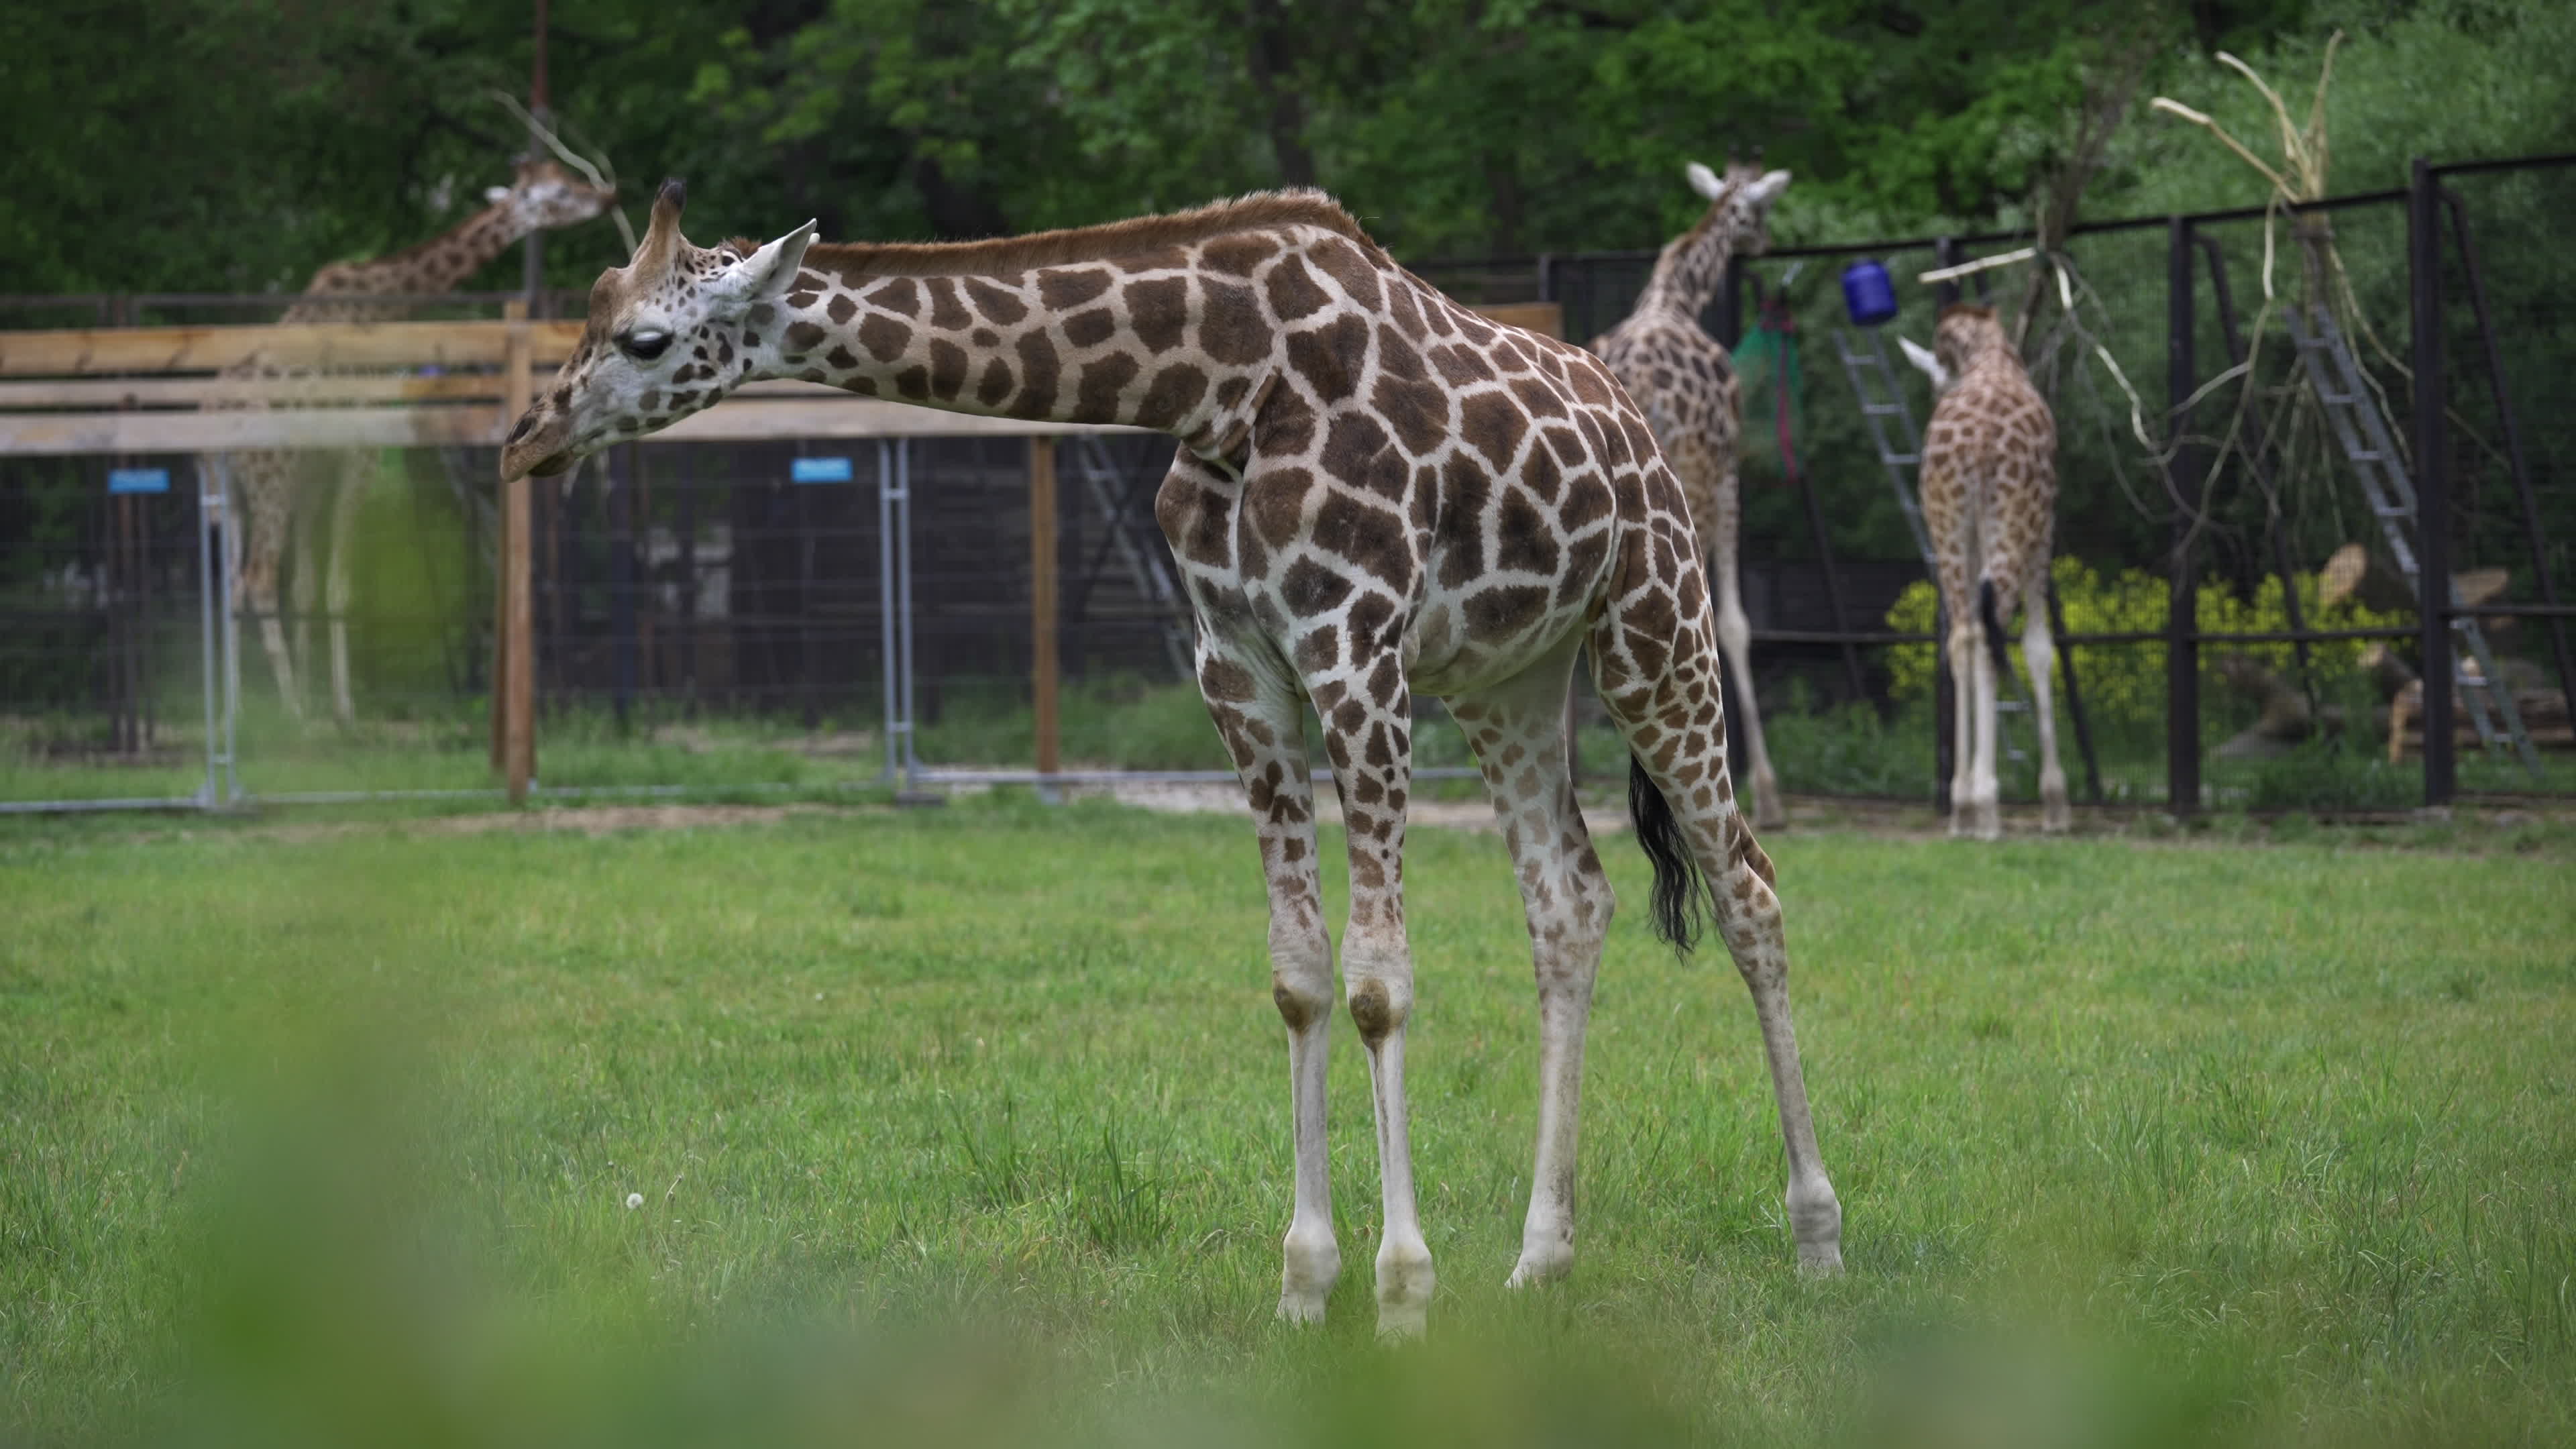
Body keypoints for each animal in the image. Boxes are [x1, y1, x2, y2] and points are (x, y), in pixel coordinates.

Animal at [214, 156, 614, 724]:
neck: (376, 307)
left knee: (230, 583)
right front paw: (340, 708)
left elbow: (308, 586)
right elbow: (337, 586)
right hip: (272, 475)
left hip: (230, 484)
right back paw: (289, 711)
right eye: (559, 192)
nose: (607, 195)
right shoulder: (360, 450)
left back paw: (238, 712)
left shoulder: (320, 465)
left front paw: (319, 695)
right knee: (258, 579)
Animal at [1591, 158, 1793, 829]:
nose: (1765, 242)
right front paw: (1765, 792)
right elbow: (1733, 624)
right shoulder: (1726, 477)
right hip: (1684, 487)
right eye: (1761, 208)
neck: (1672, 297)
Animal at [1915, 303, 2070, 839]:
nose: (1936, 393)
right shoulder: (2043, 531)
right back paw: (1985, 804)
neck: (1991, 356)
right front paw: (2054, 803)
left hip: (1948, 523)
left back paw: (1963, 804)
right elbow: (2040, 649)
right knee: (1987, 631)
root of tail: (1975, 446)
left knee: (1963, 635)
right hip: (2013, 520)